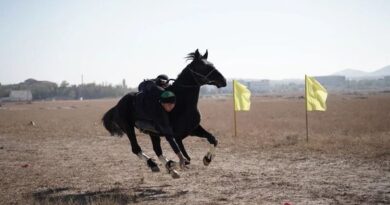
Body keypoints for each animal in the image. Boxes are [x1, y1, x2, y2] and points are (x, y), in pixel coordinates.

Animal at [102, 49, 227, 178]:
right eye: (203, 67)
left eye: (212, 64)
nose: (223, 81)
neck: (179, 101)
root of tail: (118, 104)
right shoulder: (175, 135)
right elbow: (185, 157)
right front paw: (177, 163)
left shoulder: (193, 129)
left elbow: (213, 139)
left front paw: (207, 159)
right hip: (129, 128)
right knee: (136, 149)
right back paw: (153, 164)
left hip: (153, 133)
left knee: (157, 150)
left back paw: (169, 169)